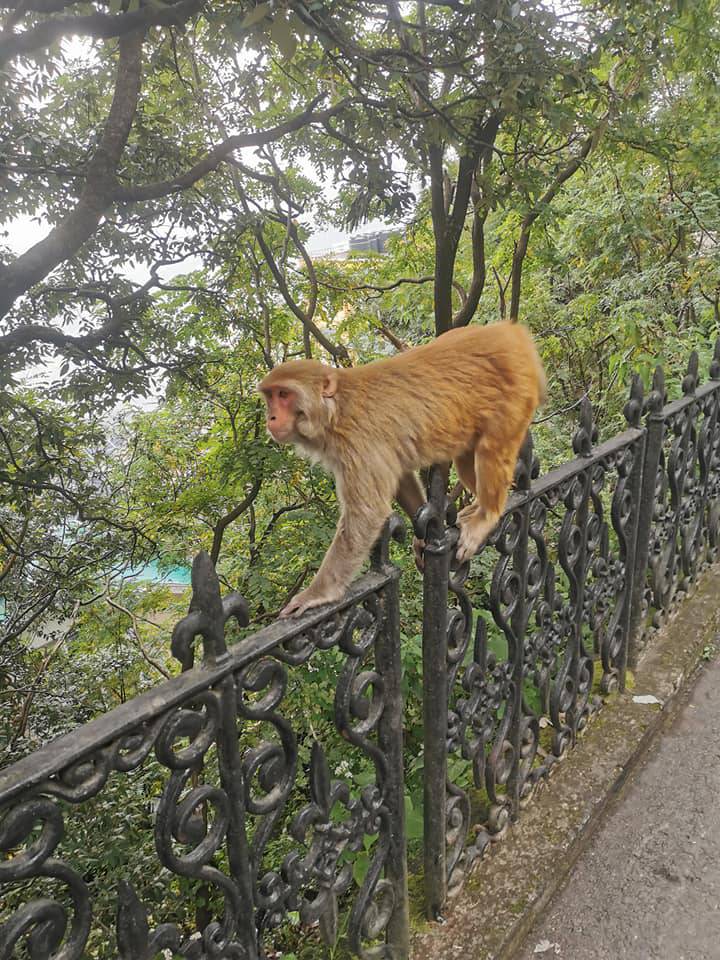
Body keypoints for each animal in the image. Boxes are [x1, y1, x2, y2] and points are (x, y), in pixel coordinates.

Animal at [258, 322, 544, 620]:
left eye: (284, 394)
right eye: (270, 396)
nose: (271, 417)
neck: (336, 410)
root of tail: (509, 333)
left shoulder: (358, 442)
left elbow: (368, 513)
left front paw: (317, 594)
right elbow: (401, 476)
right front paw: (424, 536)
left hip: (515, 395)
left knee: (490, 448)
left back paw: (487, 515)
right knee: (467, 457)